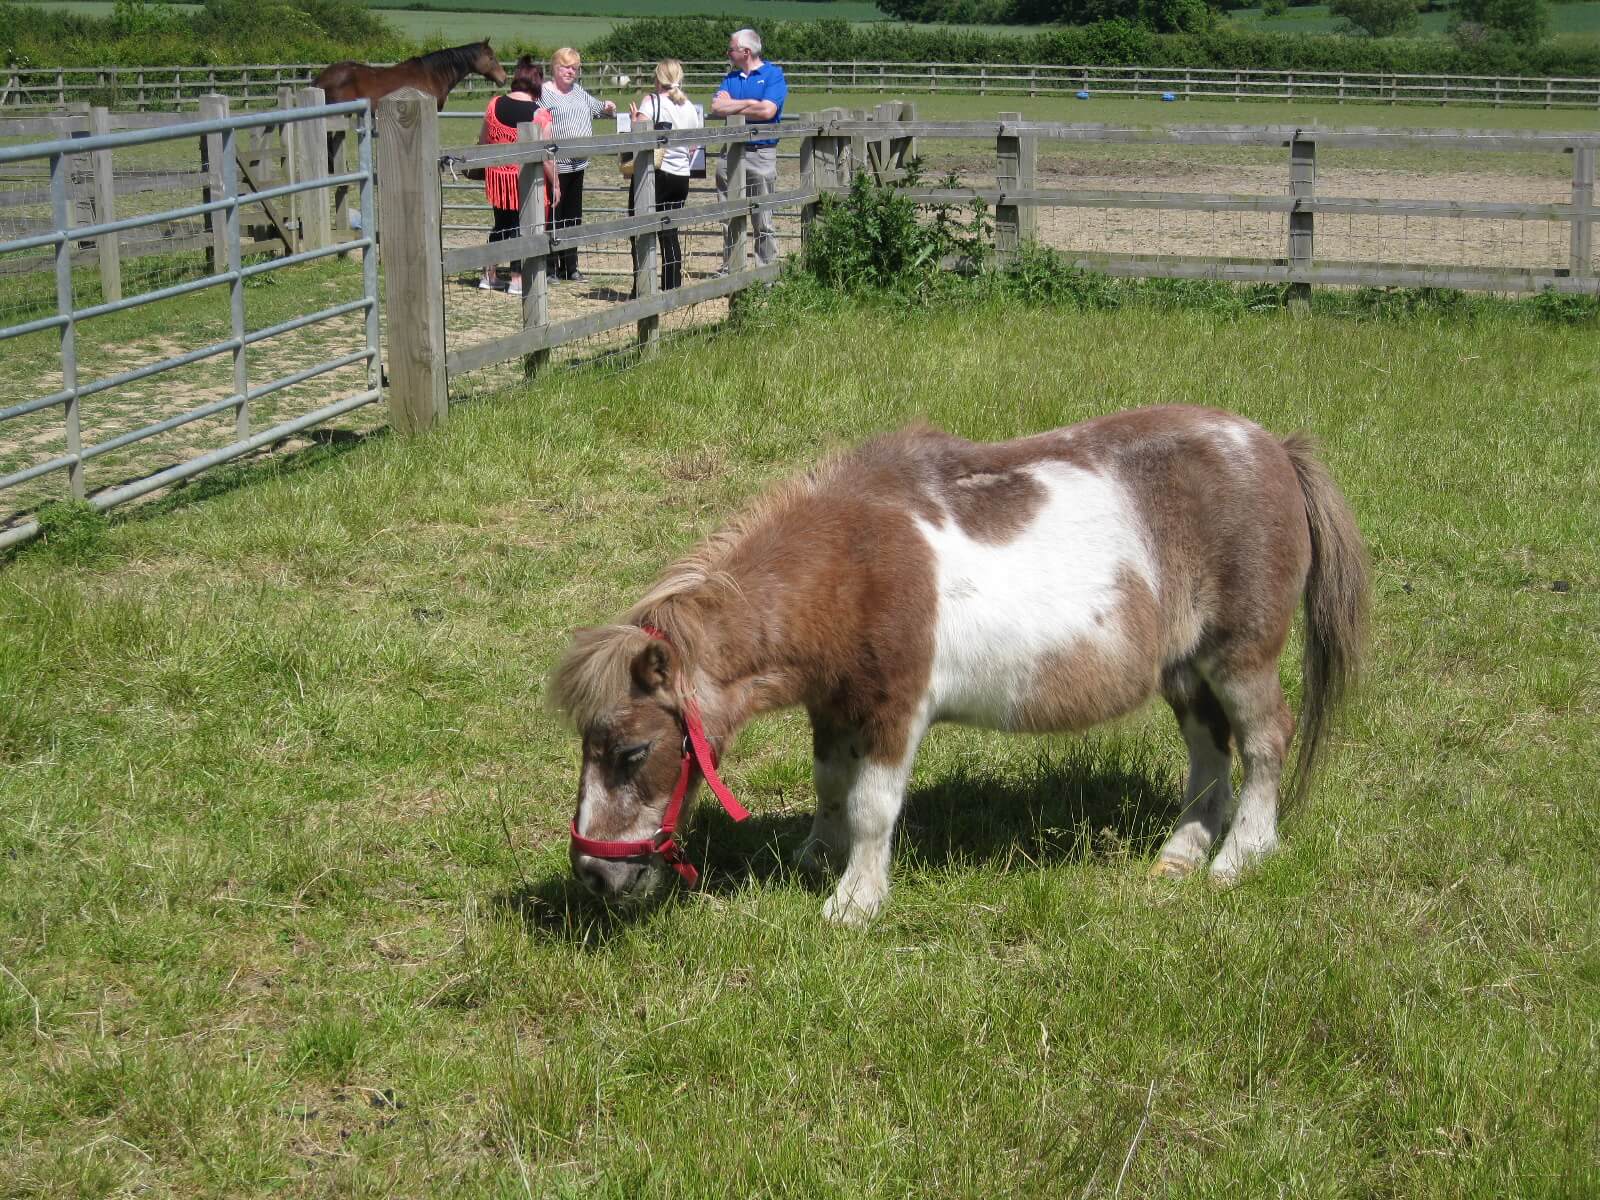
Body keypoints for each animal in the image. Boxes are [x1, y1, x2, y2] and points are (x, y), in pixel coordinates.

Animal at [551, 406, 1370, 926]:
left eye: (631, 751)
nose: (592, 876)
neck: (855, 563)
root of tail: (1274, 449)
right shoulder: (833, 707)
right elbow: (830, 785)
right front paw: (816, 857)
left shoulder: (895, 709)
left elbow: (873, 804)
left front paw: (854, 901)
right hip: (1184, 671)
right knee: (1210, 751)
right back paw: (1182, 853)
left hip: (1240, 658)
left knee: (1264, 743)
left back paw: (1241, 856)